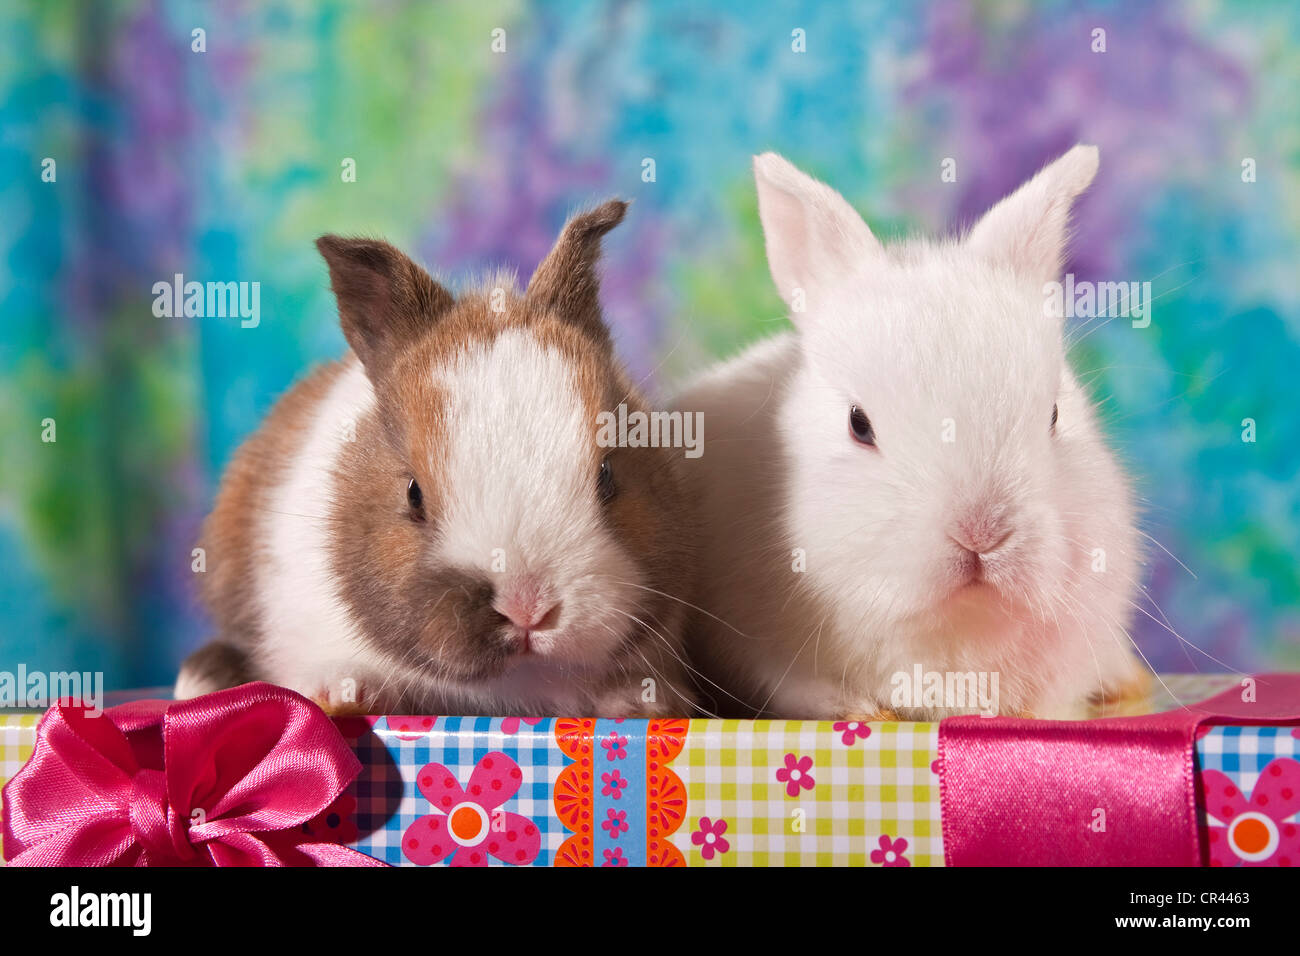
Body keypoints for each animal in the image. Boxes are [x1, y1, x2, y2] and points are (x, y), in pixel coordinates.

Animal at [672, 146, 1149, 720]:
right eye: (859, 424)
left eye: (1054, 415)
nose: (982, 534)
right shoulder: (754, 646)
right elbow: (795, 687)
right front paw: (863, 711)